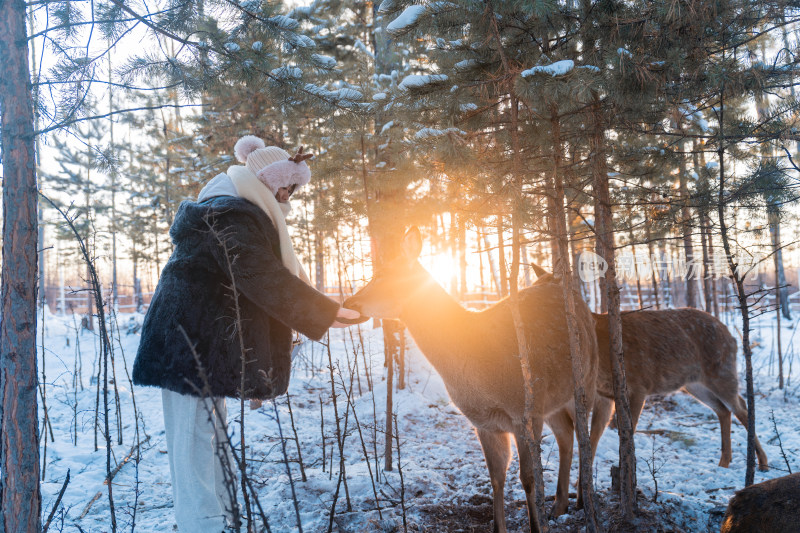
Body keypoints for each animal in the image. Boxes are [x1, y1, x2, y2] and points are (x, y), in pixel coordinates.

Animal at [340, 228, 596, 532]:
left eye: (383, 274)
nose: (347, 302)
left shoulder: (524, 411)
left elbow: (528, 478)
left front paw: (537, 526)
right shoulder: (484, 422)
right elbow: (496, 477)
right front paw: (499, 527)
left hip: (585, 380)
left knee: (587, 435)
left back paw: (582, 500)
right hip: (552, 400)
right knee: (566, 436)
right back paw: (559, 504)